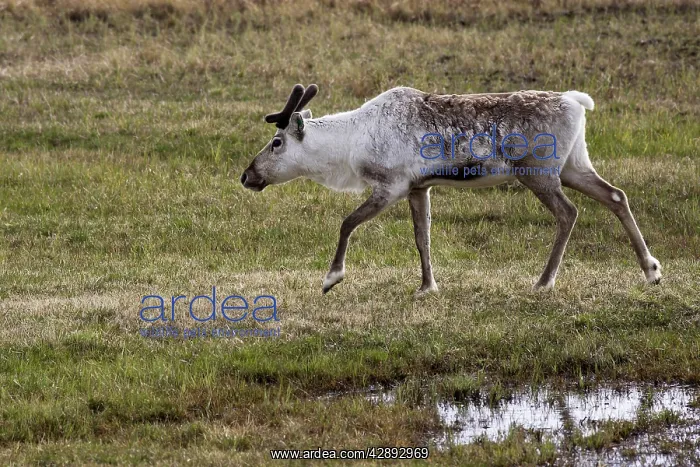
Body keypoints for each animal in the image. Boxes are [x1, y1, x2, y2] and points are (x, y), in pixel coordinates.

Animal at [240, 84, 662, 295]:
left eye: (276, 143)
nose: (246, 175)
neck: (350, 144)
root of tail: (577, 102)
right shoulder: (418, 188)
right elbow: (422, 237)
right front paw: (428, 286)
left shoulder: (391, 185)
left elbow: (347, 223)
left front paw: (332, 278)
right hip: (575, 164)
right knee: (616, 195)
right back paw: (651, 270)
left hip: (538, 171)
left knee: (568, 212)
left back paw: (544, 281)